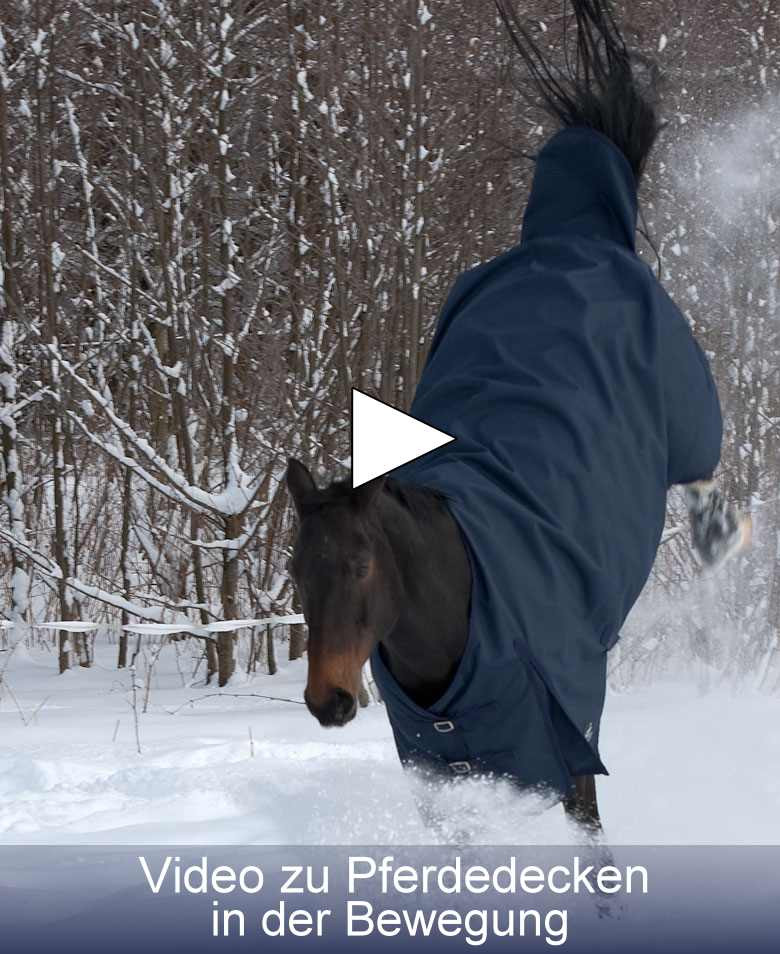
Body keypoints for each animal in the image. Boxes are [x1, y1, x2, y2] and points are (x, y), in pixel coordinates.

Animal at [284, 0, 748, 828]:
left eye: (362, 563)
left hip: (688, 406)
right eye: (295, 570)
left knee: (702, 469)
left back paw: (723, 537)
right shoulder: (447, 775)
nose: (328, 700)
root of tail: (569, 238)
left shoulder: (570, 758)